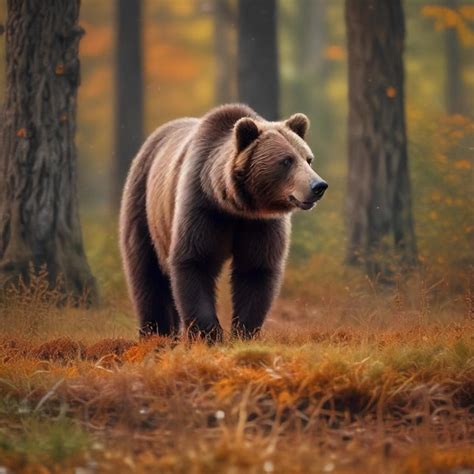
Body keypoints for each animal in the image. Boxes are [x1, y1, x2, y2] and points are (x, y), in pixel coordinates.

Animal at [119, 103, 326, 340]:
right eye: (286, 160)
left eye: (308, 158)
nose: (318, 186)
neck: (234, 206)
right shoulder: (202, 208)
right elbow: (194, 261)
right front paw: (210, 334)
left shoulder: (260, 224)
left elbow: (256, 269)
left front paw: (244, 332)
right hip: (142, 203)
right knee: (146, 270)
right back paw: (156, 332)